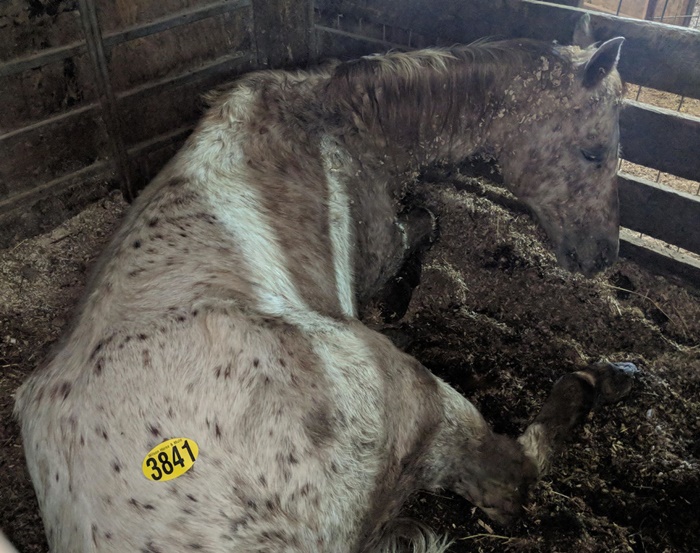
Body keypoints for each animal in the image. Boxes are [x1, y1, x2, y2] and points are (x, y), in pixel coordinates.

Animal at [15, 17, 634, 553]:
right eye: (595, 150)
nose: (602, 255)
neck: (332, 117)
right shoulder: (384, 245)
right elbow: (426, 223)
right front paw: (403, 298)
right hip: (413, 391)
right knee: (508, 479)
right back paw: (603, 378)